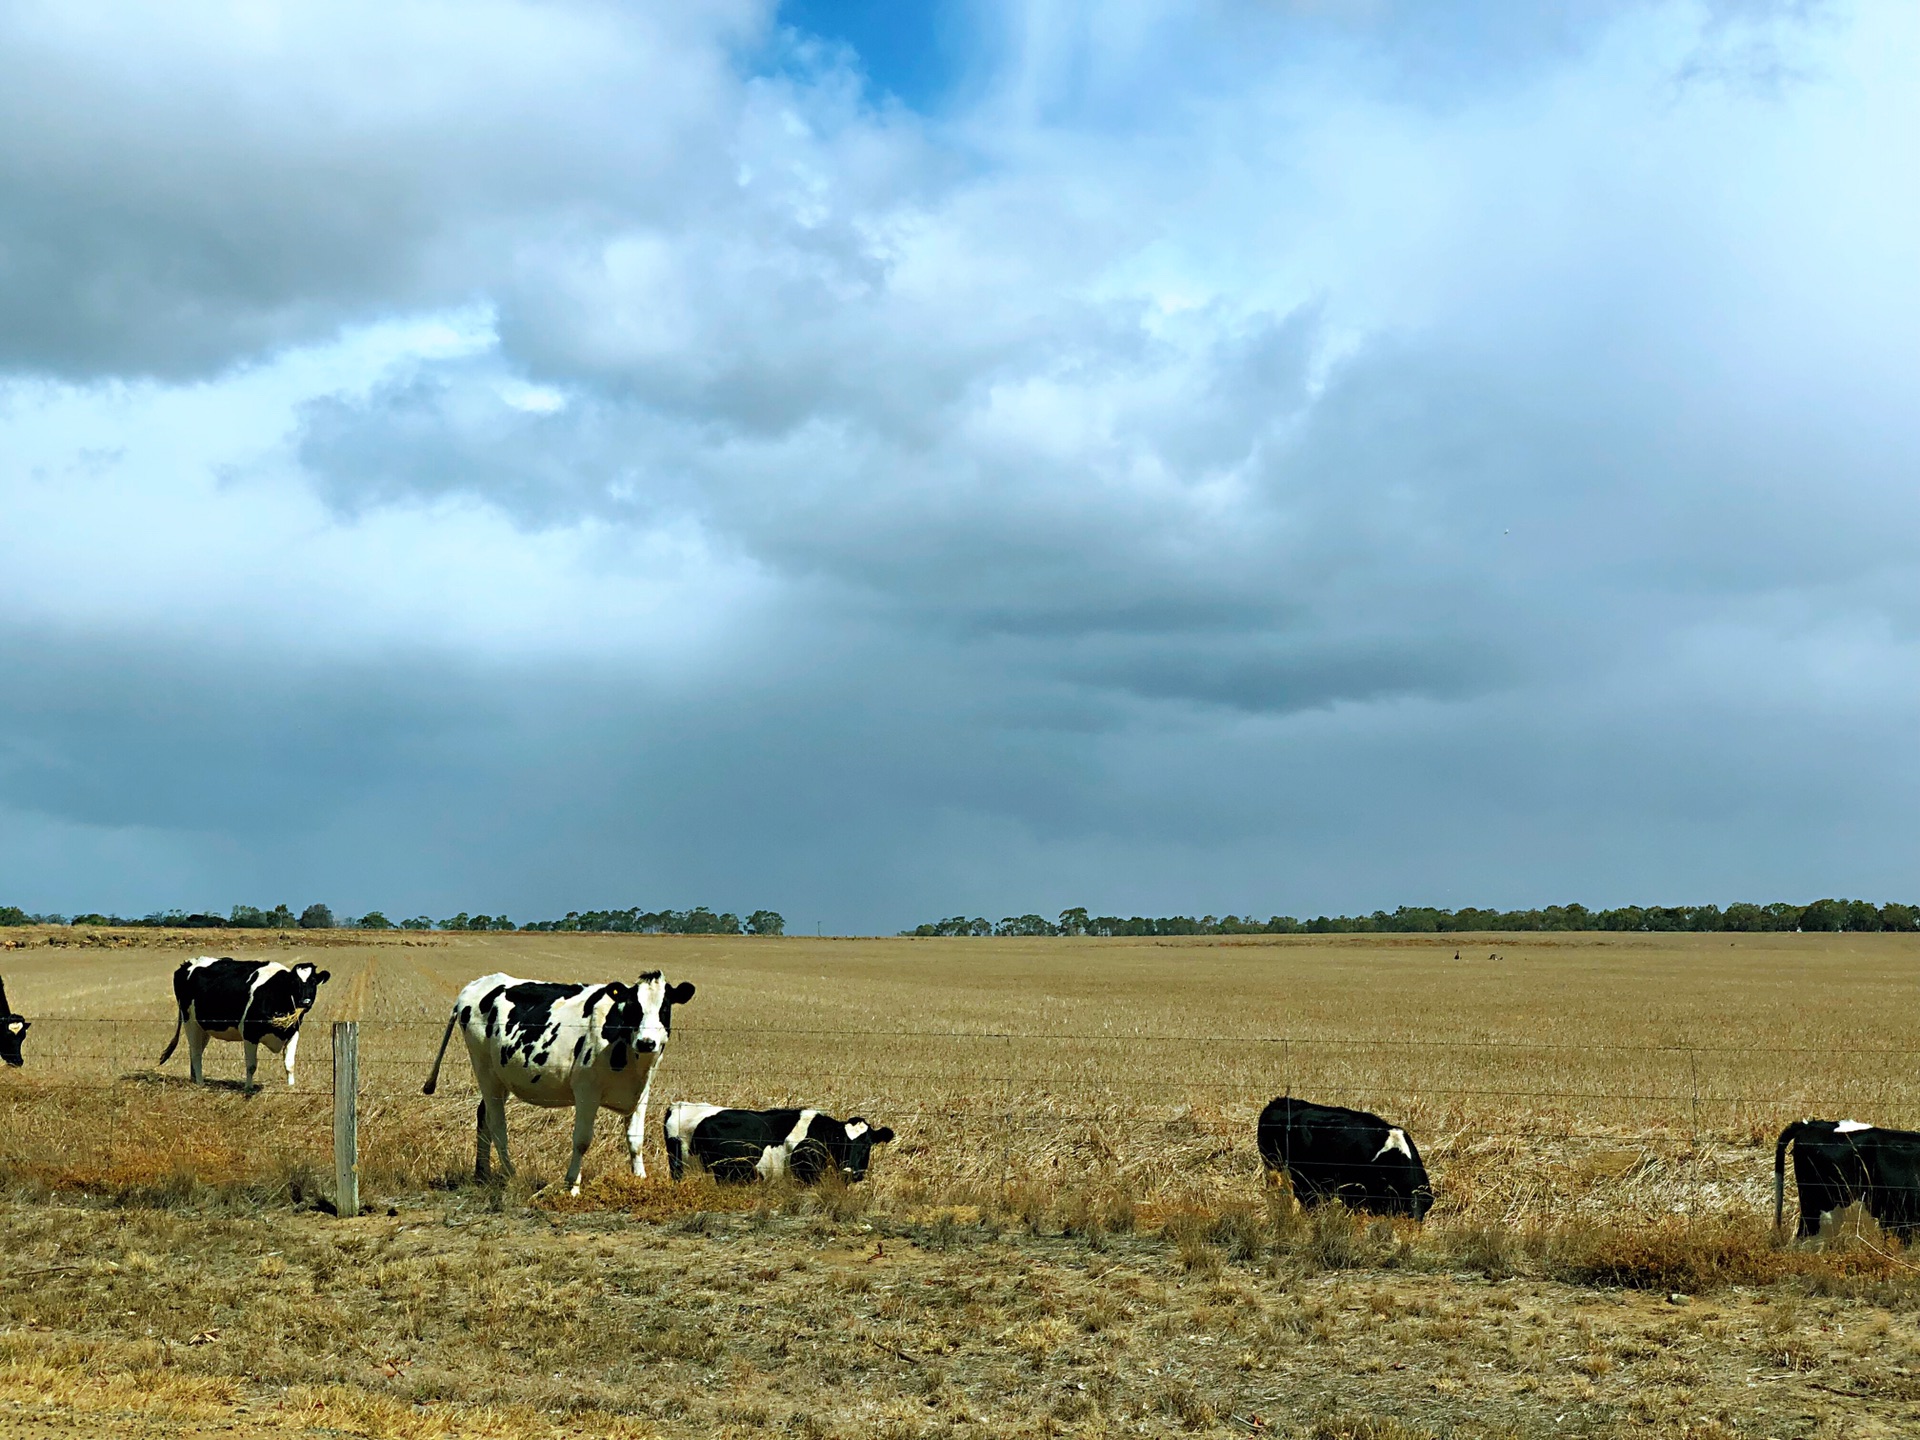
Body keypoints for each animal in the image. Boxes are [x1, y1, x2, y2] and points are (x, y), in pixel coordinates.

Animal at [157, 960, 330, 1090]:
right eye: (294, 982)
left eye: (313, 982)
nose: (305, 1002)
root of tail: (188, 963)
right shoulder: (249, 1033)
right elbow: (251, 1065)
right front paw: (248, 1088)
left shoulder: (292, 1033)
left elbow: (289, 1064)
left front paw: (291, 1087)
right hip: (190, 1022)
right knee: (196, 1052)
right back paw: (199, 1083)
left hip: (203, 1027)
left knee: (196, 1050)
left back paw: (194, 1079)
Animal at [424, 975, 695, 1198]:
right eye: (633, 1007)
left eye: (665, 1007)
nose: (647, 1042)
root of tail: (475, 985)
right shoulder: (587, 1091)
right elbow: (582, 1140)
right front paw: (572, 1185)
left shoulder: (641, 1093)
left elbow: (635, 1140)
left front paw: (640, 1178)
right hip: (485, 1071)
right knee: (497, 1125)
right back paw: (511, 1174)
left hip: (500, 1077)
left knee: (483, 1116)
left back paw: (482, 1175)